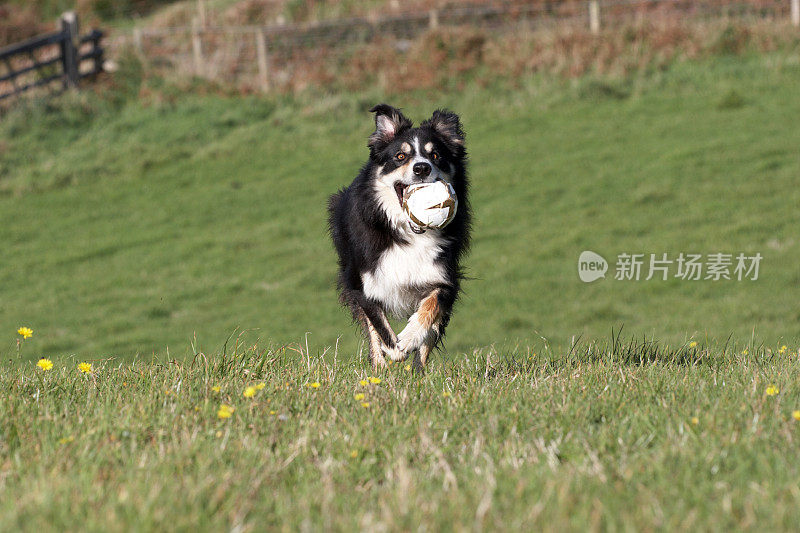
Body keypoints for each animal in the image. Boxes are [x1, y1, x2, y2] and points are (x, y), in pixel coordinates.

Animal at [328, 104, 472, 370]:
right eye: (400, 157)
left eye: (435, 155)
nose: (422, 168)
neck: (409, 233)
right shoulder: (361, 283)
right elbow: (379, 325)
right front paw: (394, 349)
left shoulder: (445, 278)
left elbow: (430, 309)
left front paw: (410, 337)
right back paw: (380, 368)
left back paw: (418, 372)